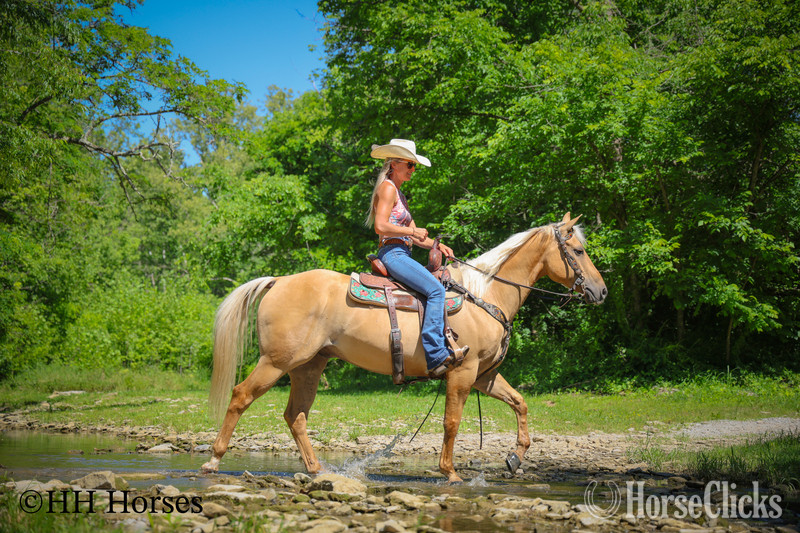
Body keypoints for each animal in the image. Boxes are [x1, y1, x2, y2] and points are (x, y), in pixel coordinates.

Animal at [201, 213, 607, 483]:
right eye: (577, 250)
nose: (601, 291)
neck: (485, 295)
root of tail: (279, 280)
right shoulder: (463, 371)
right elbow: (452, 422)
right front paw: (450, 472)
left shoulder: (484, 376)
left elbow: (520, 403)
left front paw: (515, 458)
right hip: (276, 361)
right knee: (240, 396)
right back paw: (213, 461)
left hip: (309, 367)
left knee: (295, 416)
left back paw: (316, 469)